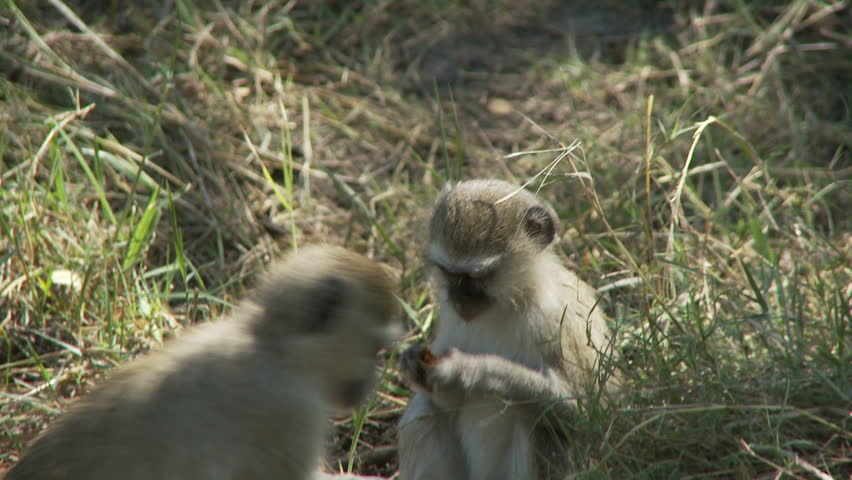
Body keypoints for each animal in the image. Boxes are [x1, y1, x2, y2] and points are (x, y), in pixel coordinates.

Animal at [397, 179, 619, 480]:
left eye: (476, 277)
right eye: (449, 273)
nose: (458, 300)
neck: (509, 303)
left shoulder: (556, 322)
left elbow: (582, 414)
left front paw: (469, 371)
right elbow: (444, 401)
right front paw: (415, 363)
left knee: (543, 427)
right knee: (423, 410)